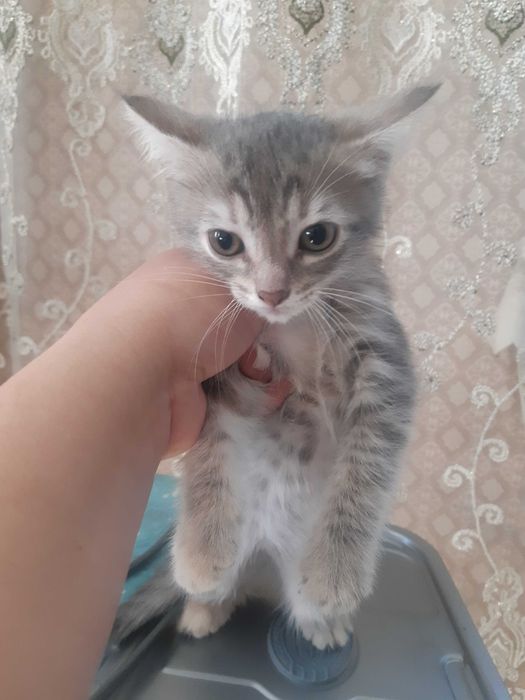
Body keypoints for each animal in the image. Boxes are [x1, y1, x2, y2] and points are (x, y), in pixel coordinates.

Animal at [116, 84, 437, 650]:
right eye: (224, 241)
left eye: (317, 237)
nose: (271, 292)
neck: (294, 325)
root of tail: (265, 556)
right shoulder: (217, 366)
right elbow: (208, 453)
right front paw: (201, 552)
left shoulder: (386, 363)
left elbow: (367, 468)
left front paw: (334, 572)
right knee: (228, 584)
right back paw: (205, 605)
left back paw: (320, 621)